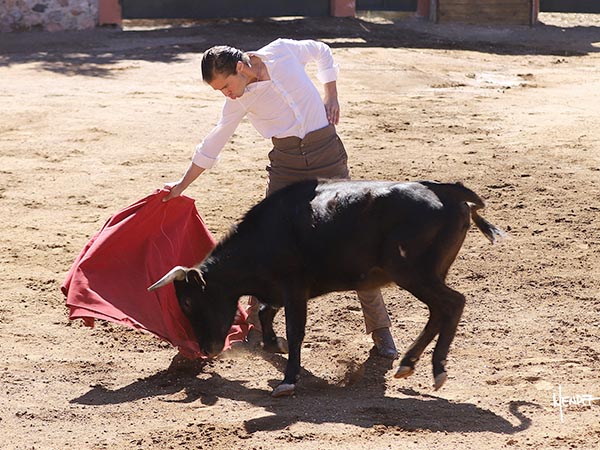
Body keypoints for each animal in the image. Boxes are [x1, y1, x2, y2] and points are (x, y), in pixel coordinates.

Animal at [148, 179, 504, 398]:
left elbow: (294, 331)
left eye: (189, 302)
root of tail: (451, 193)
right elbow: (264, 312)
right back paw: (408, 364)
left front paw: (288, 380)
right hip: (426, 276)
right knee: (438, 311)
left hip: (414, 273)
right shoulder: (279, 291)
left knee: (452, 303)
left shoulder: (294, 289)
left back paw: (437, 368)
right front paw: (272, 345)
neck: (263, 237)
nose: (206, 349)